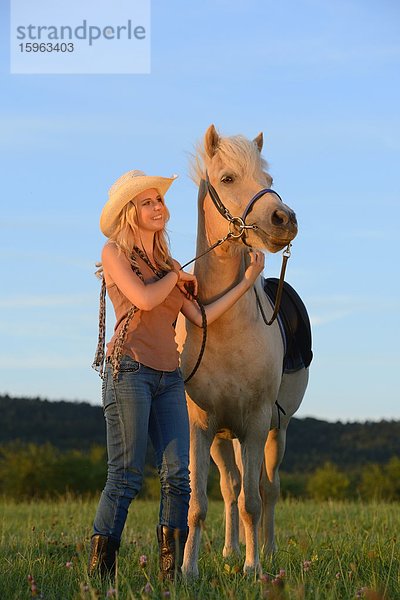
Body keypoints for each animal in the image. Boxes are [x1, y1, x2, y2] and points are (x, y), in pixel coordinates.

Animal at [177, 123, 310, 576]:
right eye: (227, 178)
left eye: (268, 179)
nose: (284, 219)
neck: (225, 329)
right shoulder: (201, 427)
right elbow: (199, 504)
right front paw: (188, 570)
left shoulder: (255, 423)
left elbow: (254, 501)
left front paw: (254, 571)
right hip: (224, 439)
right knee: (231, 485)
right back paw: (231, 550)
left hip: (276, 432)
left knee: (268, 488)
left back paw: (265, 551)